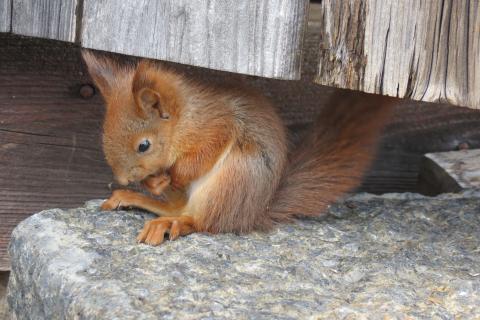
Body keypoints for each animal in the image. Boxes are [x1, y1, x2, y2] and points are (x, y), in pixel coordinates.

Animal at [82, 50, 396, 245]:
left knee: (203, 221)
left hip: (234, 175)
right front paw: (153, 183)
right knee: (176, 207)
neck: (185, 117)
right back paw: (136, 199)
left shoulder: (216, 127)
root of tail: (253, 212)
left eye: (144, 145)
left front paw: (174, 175)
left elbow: (204, 153)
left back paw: (172, 223)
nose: (122, 179)